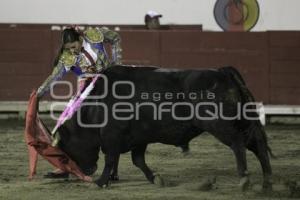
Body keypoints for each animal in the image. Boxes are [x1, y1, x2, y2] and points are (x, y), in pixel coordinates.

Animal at [56, 65, 274, 189]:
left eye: (66, 149)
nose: (84, 172)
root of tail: (223, 72)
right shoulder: (139, 138)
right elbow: (138, 160)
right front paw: (156, 179)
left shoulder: (112, 136)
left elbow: (111, 159)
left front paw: (101, 182)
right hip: (242, 121)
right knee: (258, 145)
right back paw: (266, 183)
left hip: (219, 124)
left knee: (238, 143)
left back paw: (244, 180)